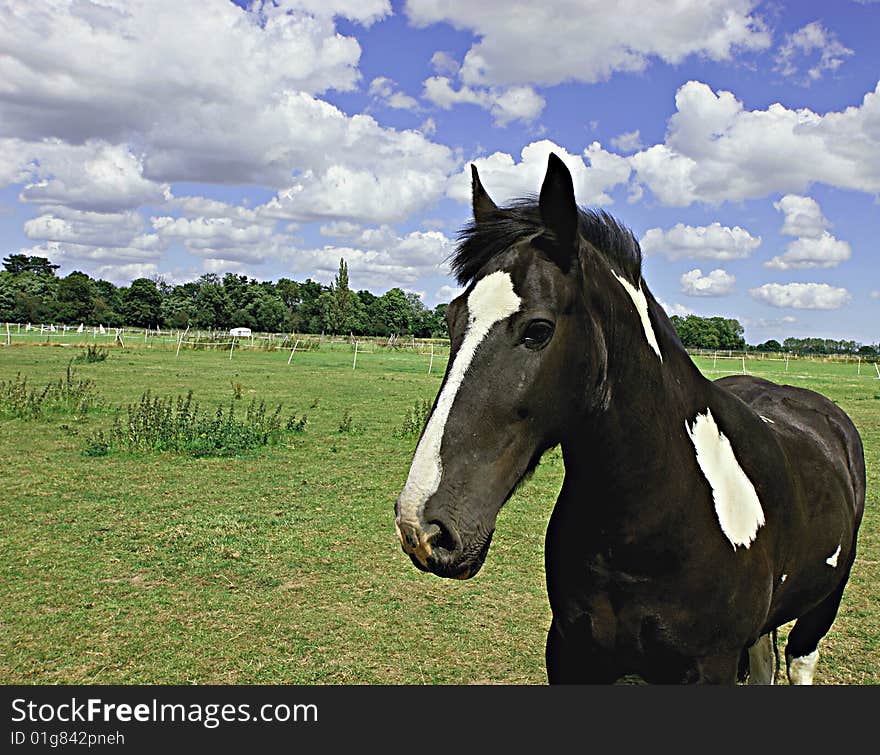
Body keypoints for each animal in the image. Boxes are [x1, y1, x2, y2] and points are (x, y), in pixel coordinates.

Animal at [398, 154, 868, 684]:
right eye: (453, 319)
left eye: (538, 330)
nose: (422, 527)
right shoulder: (574, 654)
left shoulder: (713, 665)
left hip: (821, 607)